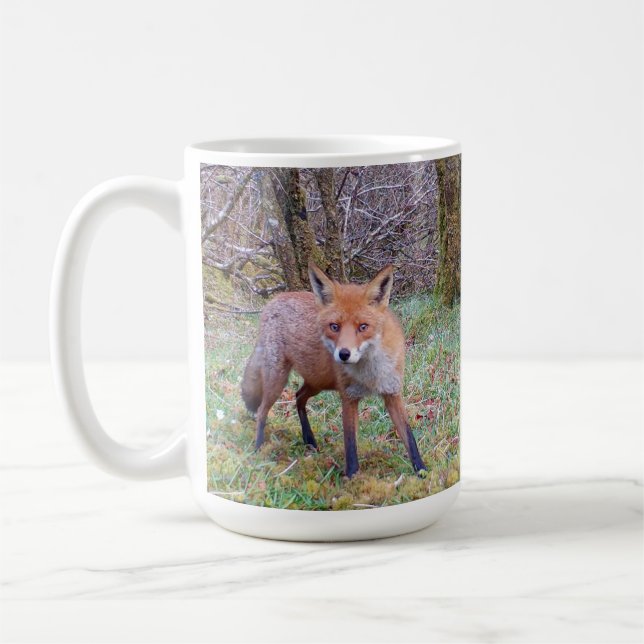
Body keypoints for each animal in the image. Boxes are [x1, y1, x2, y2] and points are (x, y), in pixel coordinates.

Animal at [241, 262, 427, 478]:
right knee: (262, 410)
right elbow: (351, 444)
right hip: (278, 379)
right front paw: (352, 478)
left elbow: (409, 437)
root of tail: (274, 300)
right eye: (334, 326)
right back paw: (258, 449)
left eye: (363, 327)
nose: (344, 354)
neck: (370, 373)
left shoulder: (392, 392)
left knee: (298, 397)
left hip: (317, 382)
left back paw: (309, 440)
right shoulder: (349, 397)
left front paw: (422, 472)